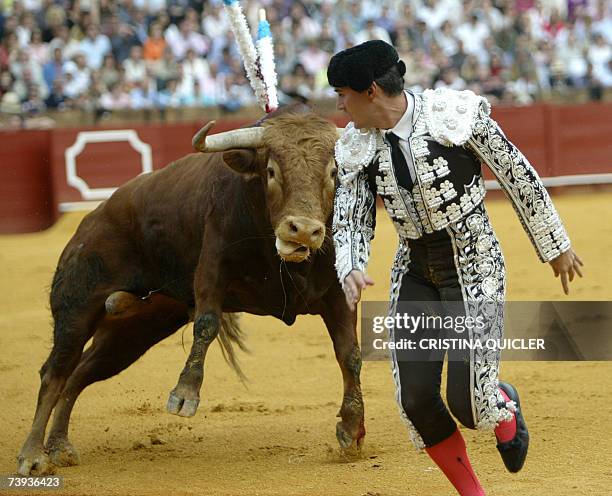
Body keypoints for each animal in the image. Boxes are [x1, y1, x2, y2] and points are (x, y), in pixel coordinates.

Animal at [16, 109, 366, 476]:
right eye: (271, 171)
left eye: (333, 173)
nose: (303, 230)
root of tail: (90, 221)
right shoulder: (212, 270)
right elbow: (207, 323)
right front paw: (185, 394)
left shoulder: (339, 295)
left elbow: (349, 353)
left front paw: (351, 428)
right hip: (77, 307)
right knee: (55, 372)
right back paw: (33, 455)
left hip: (133, 332)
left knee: (80, 373)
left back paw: (59, 446)